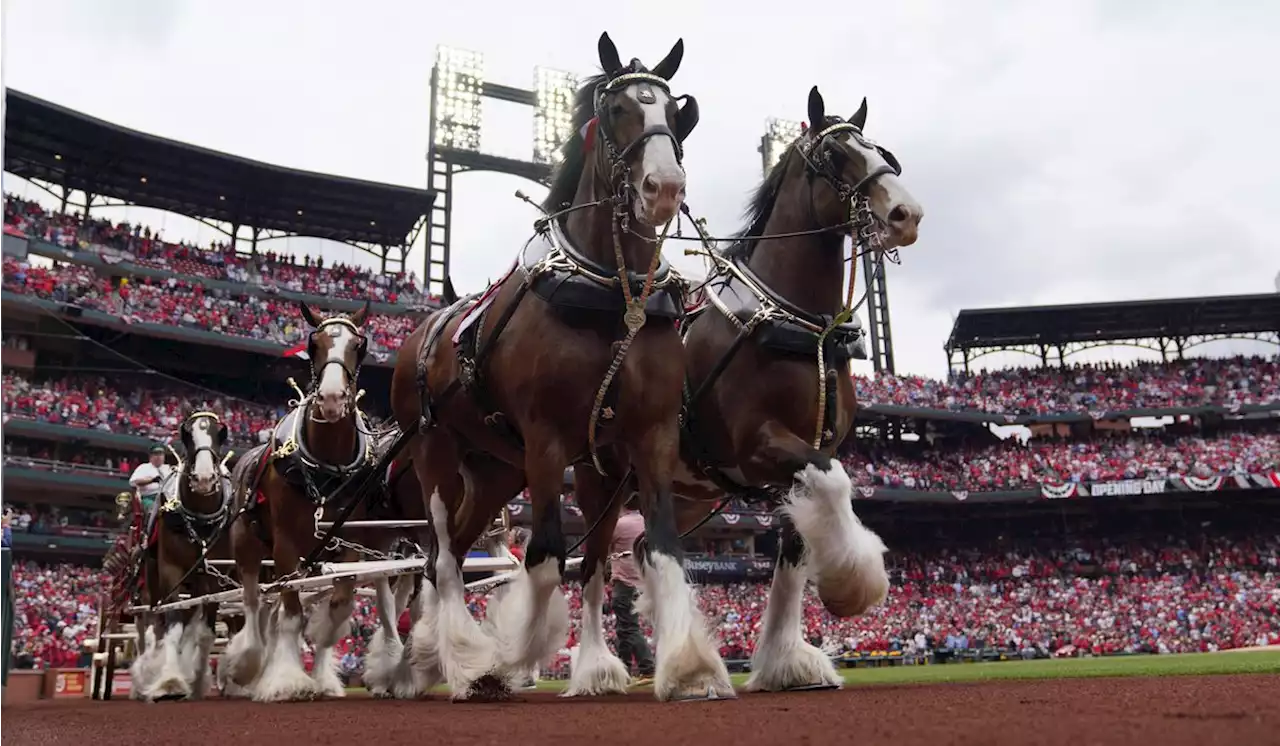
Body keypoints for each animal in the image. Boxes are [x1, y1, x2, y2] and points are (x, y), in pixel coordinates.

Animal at [384, 30, 727, 706]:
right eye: (618, 109)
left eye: (676, 115)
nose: (664, 187)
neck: (610, 295)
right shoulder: (547, 439)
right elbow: (545, 554)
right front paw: (512, 657)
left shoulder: (636, 443)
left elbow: (643, 551)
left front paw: (679, 666)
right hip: (437, 450)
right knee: (442, 556)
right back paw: (458, 660)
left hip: (494, 470)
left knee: (450, 553)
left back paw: (432, 658)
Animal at [629, 87, 921, 696]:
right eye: (835, 155)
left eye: (882, 152)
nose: (906, 214)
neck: (797, 327)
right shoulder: (760, 445)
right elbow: (836, 484)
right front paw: (853, 583)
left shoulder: (805, 455)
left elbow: (794, 548)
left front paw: (786, 661)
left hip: (689, 495)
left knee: (642, 547)